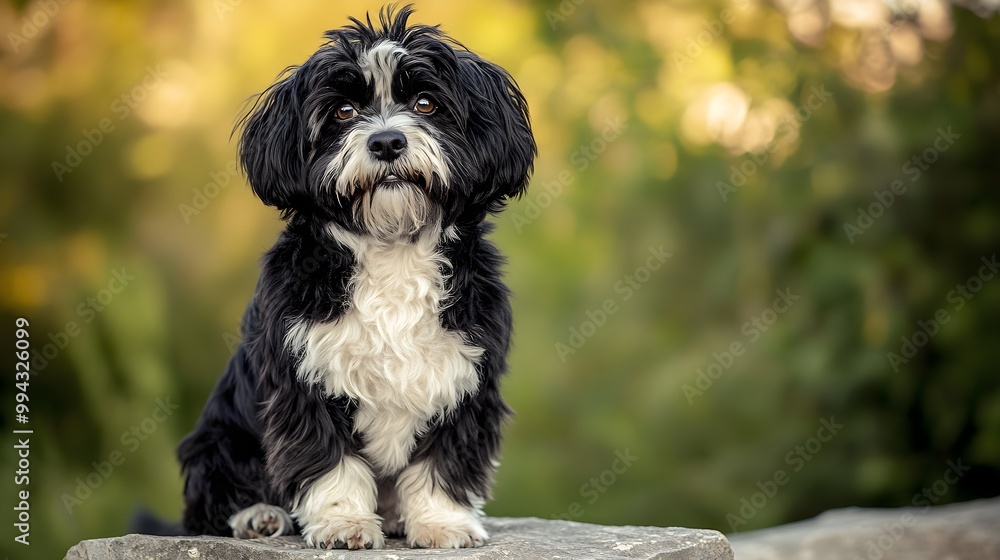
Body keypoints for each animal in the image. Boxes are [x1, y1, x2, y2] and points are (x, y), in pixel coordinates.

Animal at [178, 5, 540, 552]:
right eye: (344, 112)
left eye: (426, 103)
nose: (387, 140)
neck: (391, 250)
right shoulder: (304, 377)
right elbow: (330, 459)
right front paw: (343, 523)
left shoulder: (464, 380)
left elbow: (443, 461)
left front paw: (442, 523)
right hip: (218, 440)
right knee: (213, 498)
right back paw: (258, 517)